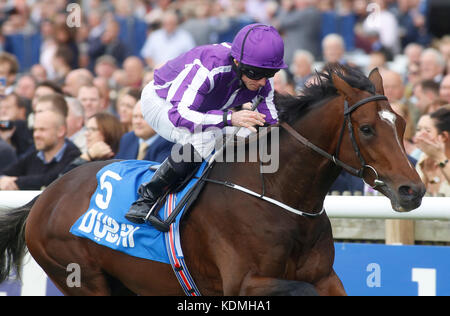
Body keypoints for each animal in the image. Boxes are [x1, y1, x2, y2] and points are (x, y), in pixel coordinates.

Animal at [0, 65, 424, 298]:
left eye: (403, 124)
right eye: (367, 129)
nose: (413, 190)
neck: (278, 194)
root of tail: (45, 197)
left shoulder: (324, 276)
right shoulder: (244, 283)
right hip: (79, 277)